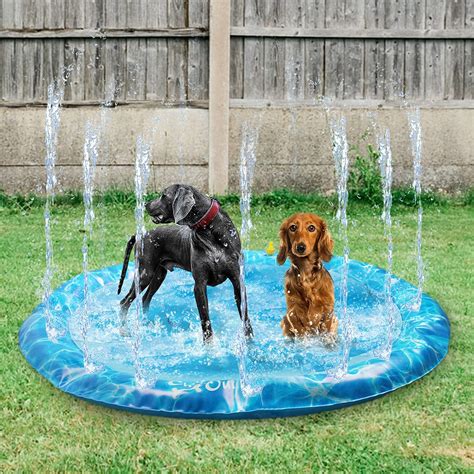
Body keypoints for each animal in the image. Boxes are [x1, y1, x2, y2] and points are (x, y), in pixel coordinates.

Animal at [117, 183, 254, 342]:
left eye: (164, 195)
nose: (146, 205)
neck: (209, 230)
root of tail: (141, 235)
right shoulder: (199, 285)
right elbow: (205, 319)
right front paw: (209, 345)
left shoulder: (237, 280)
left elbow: (245, 316)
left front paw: (250, 341)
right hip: (144, 273)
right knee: (124, 302)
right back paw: (124, 331)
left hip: (158, 275)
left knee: (145, 299)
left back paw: (148, 325)